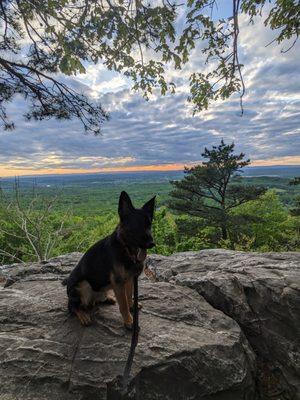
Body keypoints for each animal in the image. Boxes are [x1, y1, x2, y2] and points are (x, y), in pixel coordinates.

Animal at [62, 191, 156, 328]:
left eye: (149, 224)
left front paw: (132, 306)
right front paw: (129, 321)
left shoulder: (130, 280)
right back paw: (83, 315)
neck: (126, 249)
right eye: (136, 225)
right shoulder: (119, 283)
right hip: (83, 286)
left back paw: (108, 298)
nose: (152, 244)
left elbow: (129, 296)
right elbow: (123, 305)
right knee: (72, 307)